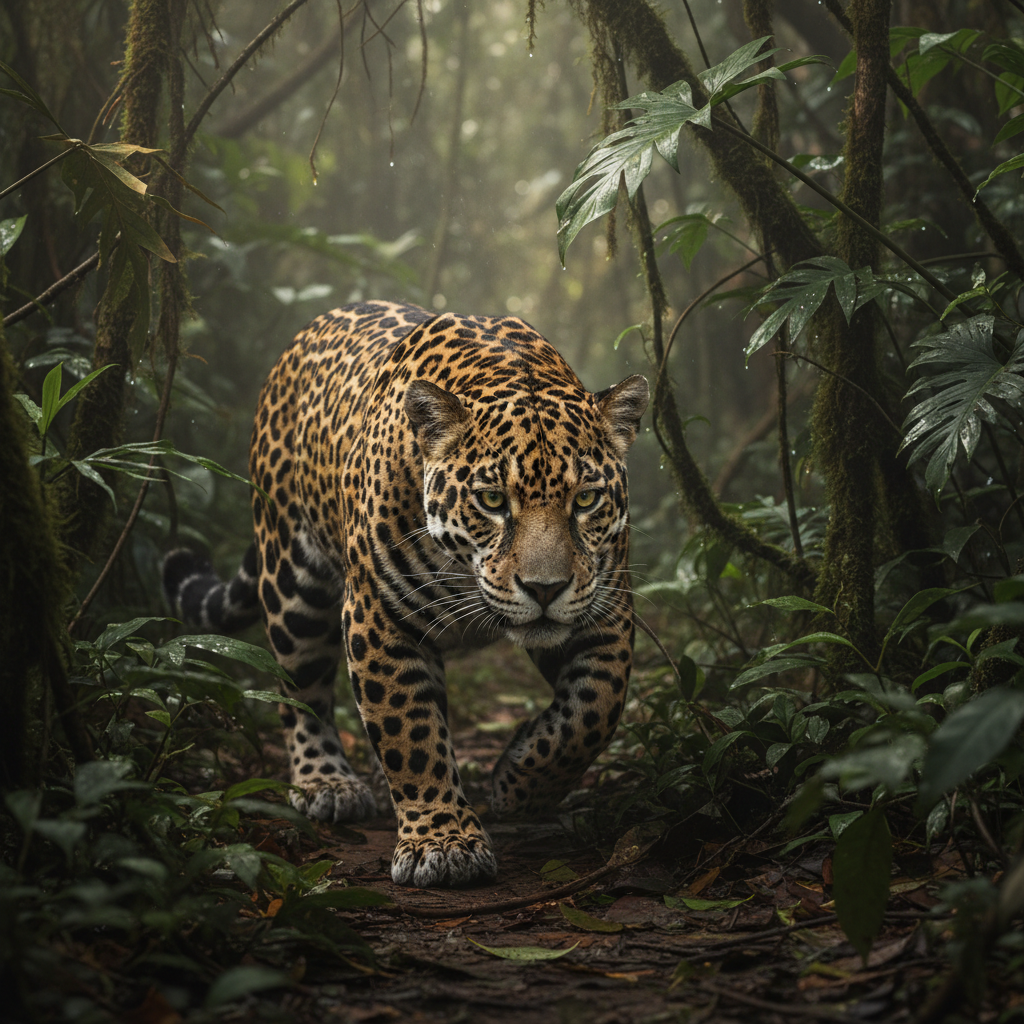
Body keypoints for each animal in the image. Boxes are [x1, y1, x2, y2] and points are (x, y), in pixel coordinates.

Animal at [163, 300, 648, 888]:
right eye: (491, 500)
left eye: (586, 500)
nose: (545, 588)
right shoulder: (378, 616)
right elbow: (410, 733)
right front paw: (442, 843)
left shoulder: (605, 609)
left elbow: (595, 706)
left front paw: (521, 786)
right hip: (292, 581)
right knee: (301, 693)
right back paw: (327, 783)